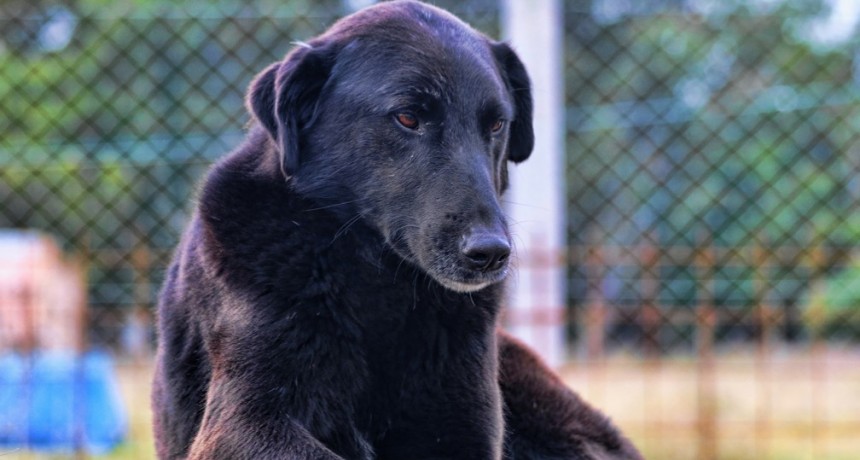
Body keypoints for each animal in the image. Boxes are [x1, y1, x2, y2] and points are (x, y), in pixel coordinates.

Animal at [153, 1, 640, 458]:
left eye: (497, 124)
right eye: (408, 118)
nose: (491, 253)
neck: (377, 287)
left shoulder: (465, 431)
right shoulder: (242, 423)